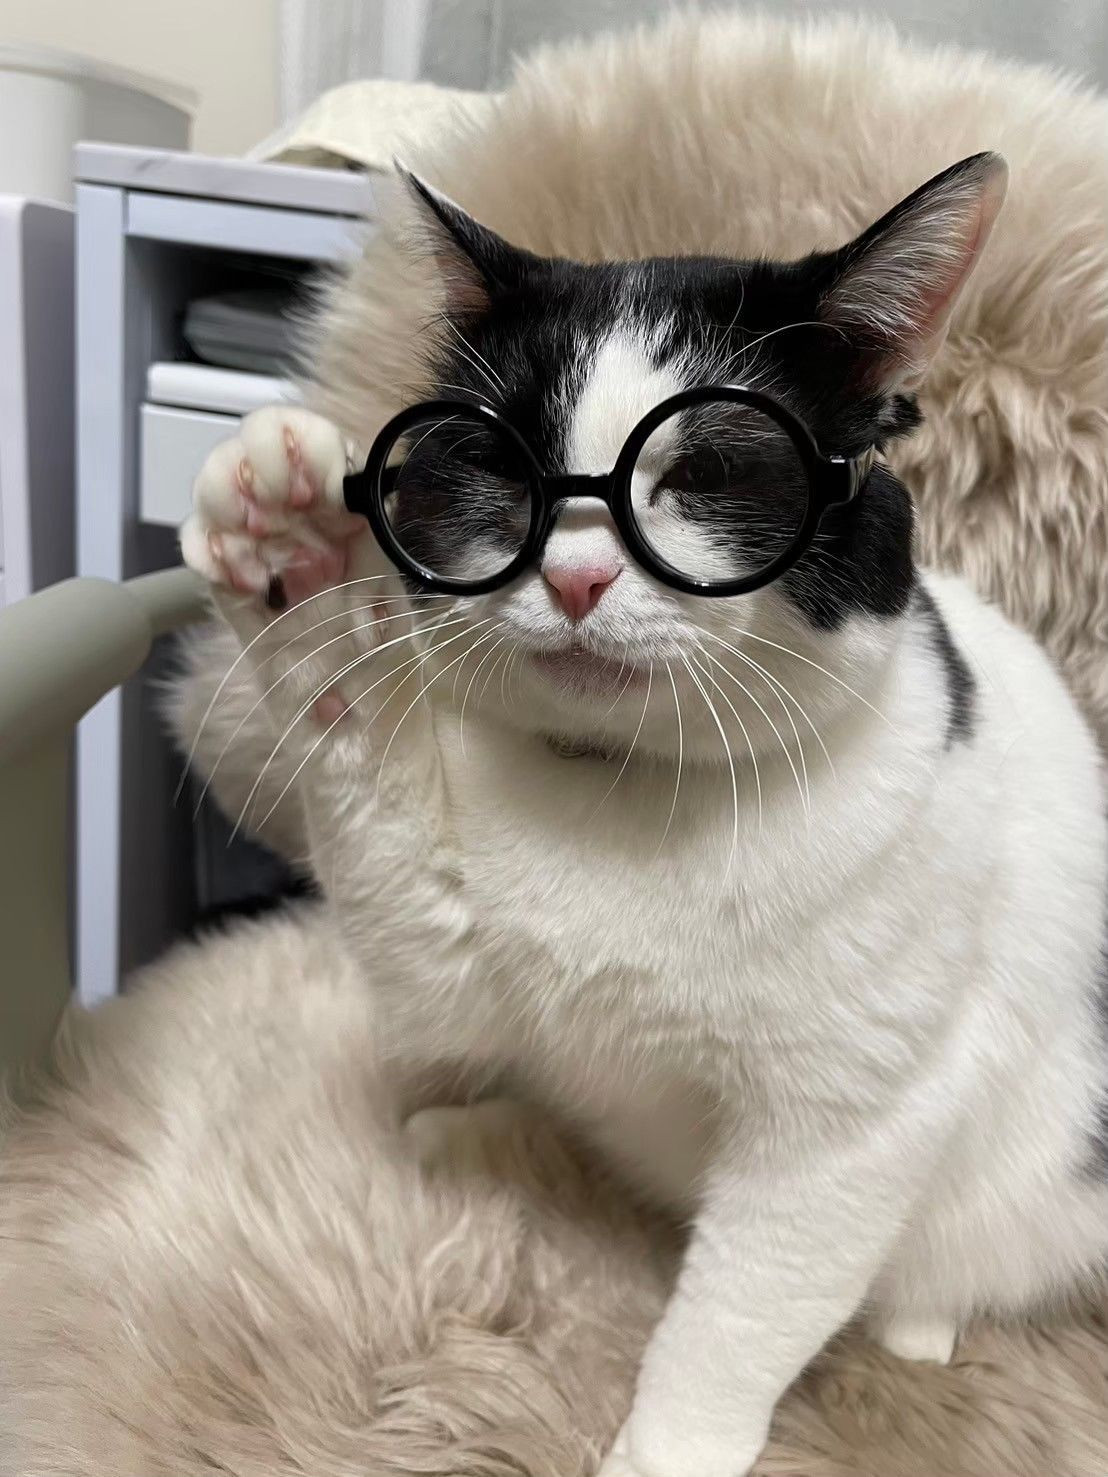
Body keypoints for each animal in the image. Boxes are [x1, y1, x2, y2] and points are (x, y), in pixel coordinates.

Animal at [179, 151, 1108, 1477]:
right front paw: (291, 548)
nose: (576, 575)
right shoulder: (450, 965)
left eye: (708, 473)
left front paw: (669, 1445)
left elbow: (739, 1313)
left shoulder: (843, 1131)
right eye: (503, 468)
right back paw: (473, 1133)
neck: (624, 788)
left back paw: (921, 1321)